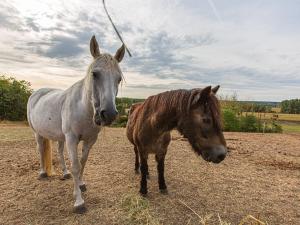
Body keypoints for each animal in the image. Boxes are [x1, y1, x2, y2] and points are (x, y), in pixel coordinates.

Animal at [27, 35, 125, 213]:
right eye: (94, 74)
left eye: (118, 78)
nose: (108, 114)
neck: (83, 108)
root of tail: (37, 93)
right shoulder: (72, 139)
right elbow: (76, 166)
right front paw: (79, 201)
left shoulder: (90, 140)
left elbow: (83, 162)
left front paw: (80, 184)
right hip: (38, 133)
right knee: (40, 150)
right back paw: (42, 173)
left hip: (60, 137)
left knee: (59, 152)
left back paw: (64, 173)